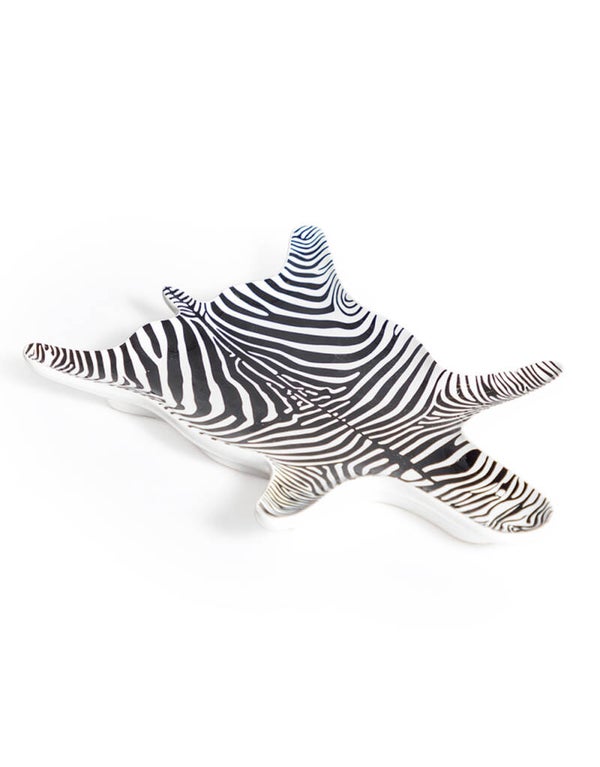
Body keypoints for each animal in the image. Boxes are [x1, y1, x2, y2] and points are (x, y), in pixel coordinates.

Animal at [24, 226, 562, 541]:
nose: (531, 520)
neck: (407, 457)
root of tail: (201, 313)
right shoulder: (314, 473)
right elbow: (283, 507)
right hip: (130, 380)